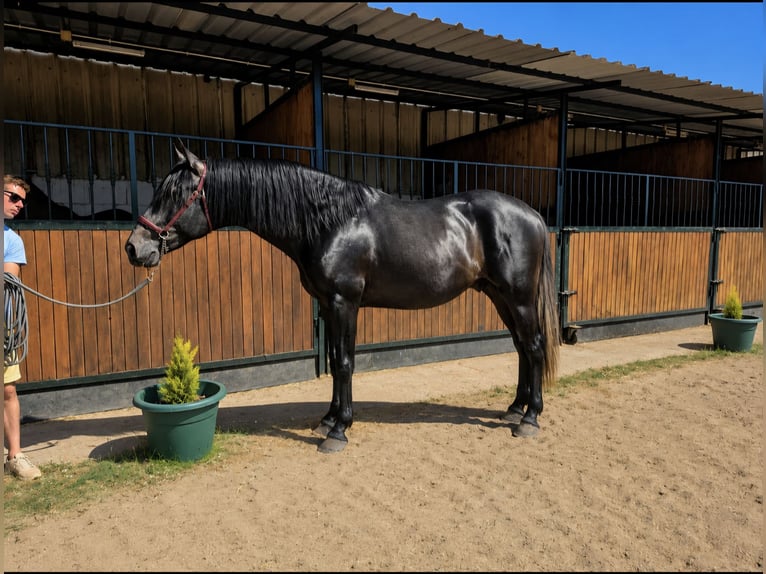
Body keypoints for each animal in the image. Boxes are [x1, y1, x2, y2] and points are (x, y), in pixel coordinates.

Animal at [125, 142, 560, 453]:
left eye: (175, 192)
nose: (134, 247)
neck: (330, 222)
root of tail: (533, 215)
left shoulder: (343, 303)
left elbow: (347, 364)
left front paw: (339, 432)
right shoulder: (327, 305)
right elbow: (335, 363)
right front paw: (329, 420)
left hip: (519, 298)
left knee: (534, 347)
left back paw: (530, 419)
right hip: (500, 297)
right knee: (522, 348)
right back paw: (514, 410)